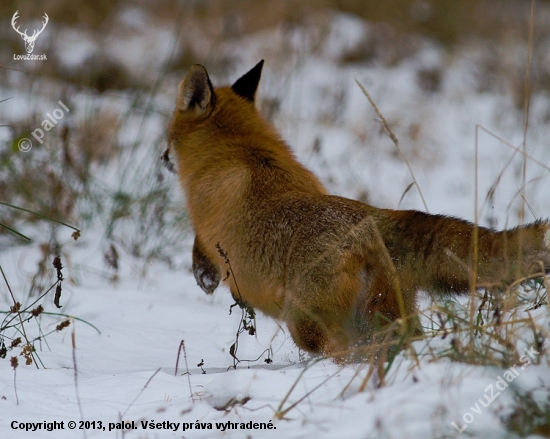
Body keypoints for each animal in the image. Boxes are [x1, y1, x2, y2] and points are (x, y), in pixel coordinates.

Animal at [167, 60, 550, 360]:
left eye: (168, 137)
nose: (163, 158)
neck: (241, 148)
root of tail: (373, 218)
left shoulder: (205, 222)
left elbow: (200, 246)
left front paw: (204, 276)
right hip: (387, 318)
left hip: (307, 325)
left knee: (338, 352)